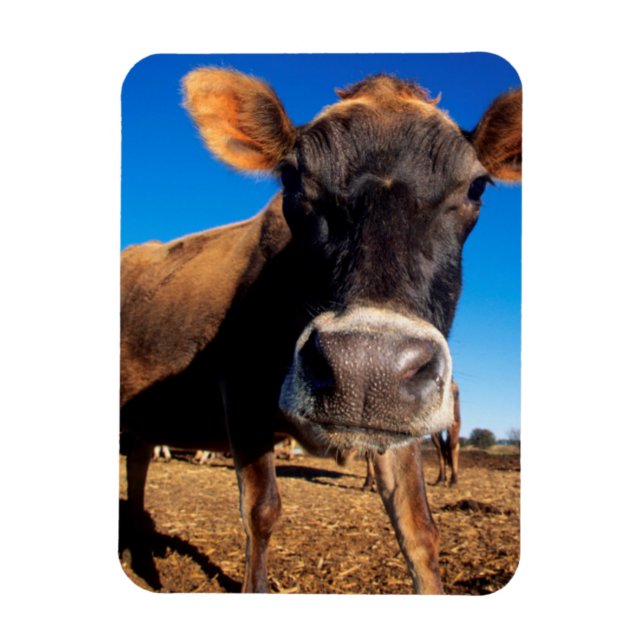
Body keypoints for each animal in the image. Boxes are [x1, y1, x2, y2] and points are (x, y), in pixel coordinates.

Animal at [120, 68, 521, 594]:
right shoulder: (240, 388)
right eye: (291, 177)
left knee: (139, 461)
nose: (367, 368)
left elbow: (418, 528)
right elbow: (261, 511)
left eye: (477, 186)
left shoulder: (400, 420)